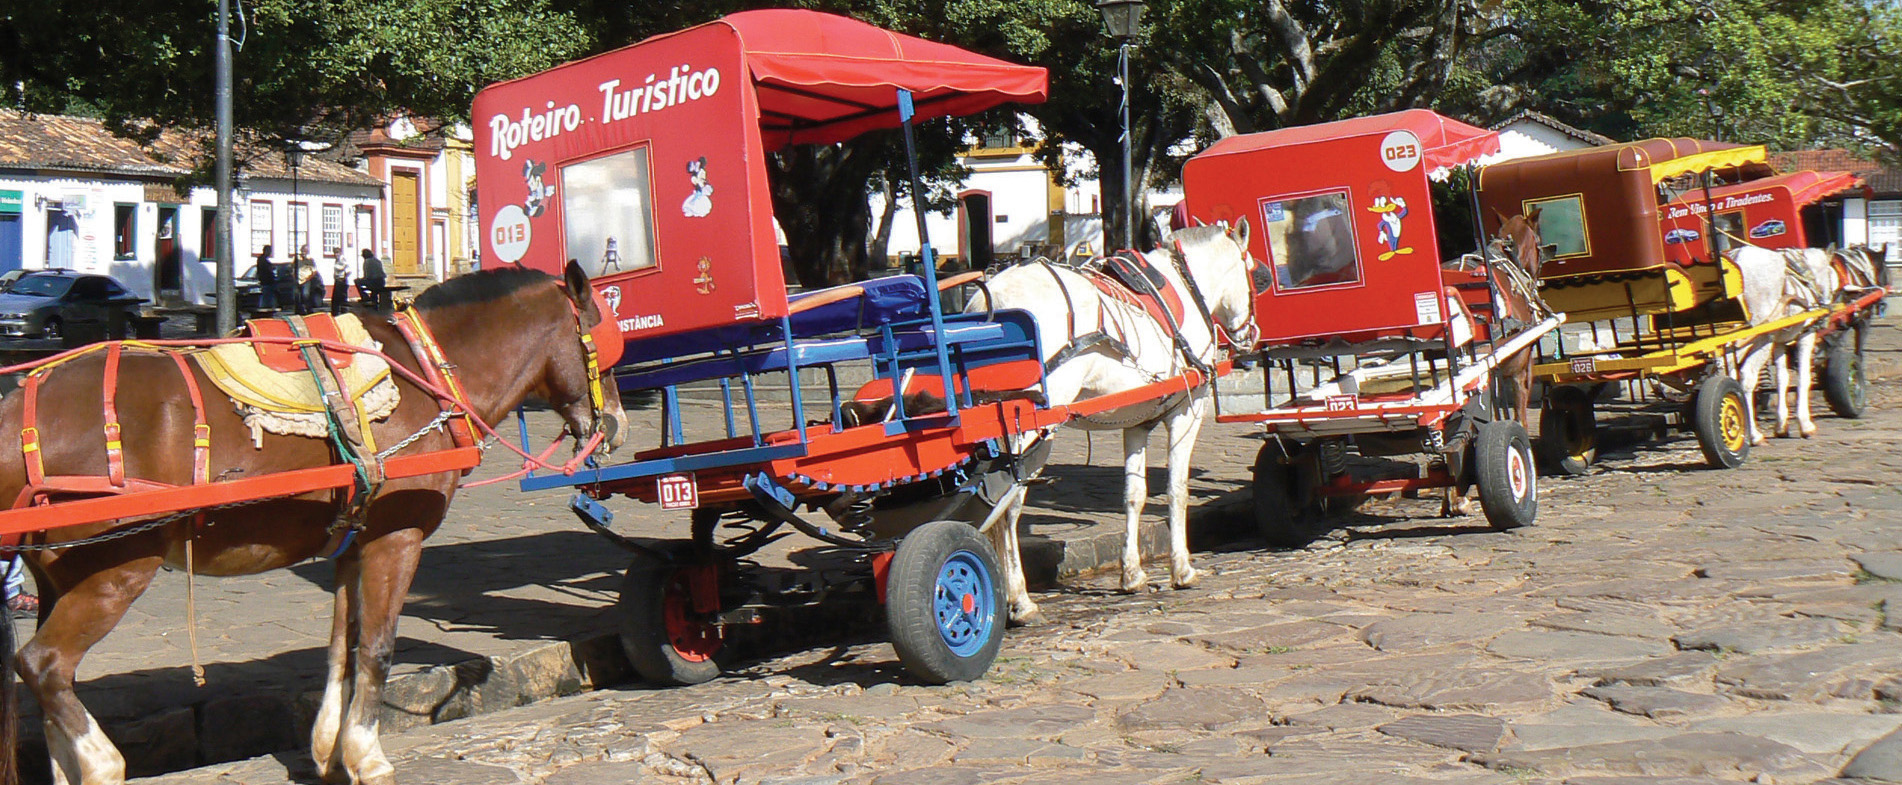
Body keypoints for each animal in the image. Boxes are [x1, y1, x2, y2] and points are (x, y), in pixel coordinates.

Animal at [0, 262, 627, 783]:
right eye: (601, 342)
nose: (617, 423)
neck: (427, 370)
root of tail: (19, 410)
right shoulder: (396, 539)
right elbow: (377, 647)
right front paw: (368, 756)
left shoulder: (353, 541)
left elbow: (339, 646)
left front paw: (329, 749)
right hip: (116, 571)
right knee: (43, 666)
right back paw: (102, 761)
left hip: (57, 576)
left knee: (51, 689)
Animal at [966, 220, 1262, 623]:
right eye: (1253, 276)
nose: (1251, 334)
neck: (1185, 286)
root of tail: (988, 303)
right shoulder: (1187, 410)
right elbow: (1177, 490)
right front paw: (1182, 568)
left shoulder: (1136, 421)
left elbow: (1134, 495)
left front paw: (1132, 573)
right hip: (1029, 431)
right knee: (1008, 507)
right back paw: (1020, 600)